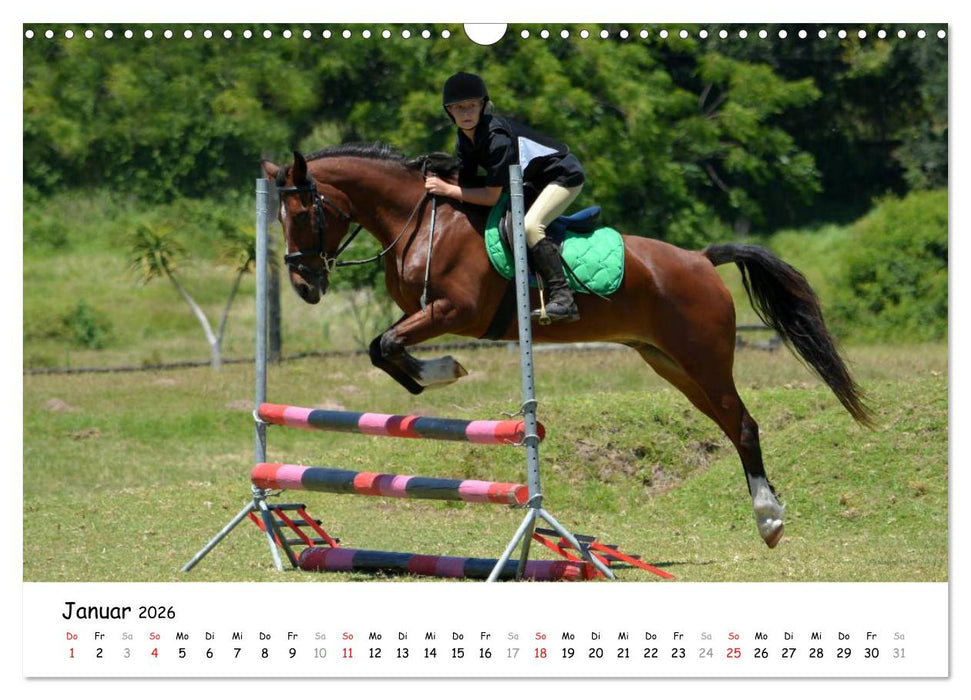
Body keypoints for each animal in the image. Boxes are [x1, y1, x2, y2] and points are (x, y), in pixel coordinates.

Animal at [260, 143, 873, 550]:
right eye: (278, 215)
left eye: (305, 211)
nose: (304, 285)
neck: (419, 220)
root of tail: (701, 259)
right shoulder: (424, 312)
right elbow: (382, 346)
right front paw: (432, 372)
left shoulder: (455, 312)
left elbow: (384, 344)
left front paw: (442, 370)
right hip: (670, 364)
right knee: (728, 422)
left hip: (703, 358)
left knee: (743, 424)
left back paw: (769, 520)